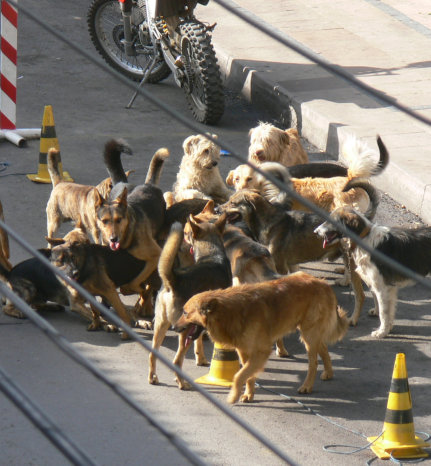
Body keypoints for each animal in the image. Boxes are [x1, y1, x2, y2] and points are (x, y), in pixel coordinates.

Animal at [177, 272, 350, 402]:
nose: (174, 328)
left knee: (313, 362)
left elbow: (239, 375)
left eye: (185, 313)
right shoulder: (244, 351)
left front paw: (233, 395)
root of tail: (323, 283)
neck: (228, 312)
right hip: (310, 333)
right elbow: (248, 375)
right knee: (324, 348)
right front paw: (248, 394)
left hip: (308, 335)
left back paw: (307, 386)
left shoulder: (261, 351)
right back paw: (329, 372)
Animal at [314, 189, 431, 338]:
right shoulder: (381, 285)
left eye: (331, 220)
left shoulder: (383, 287)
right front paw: (383, 322)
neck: (364, 238)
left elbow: (384, 313)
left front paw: (382, 332)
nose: (315, 231)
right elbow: (382, 306)